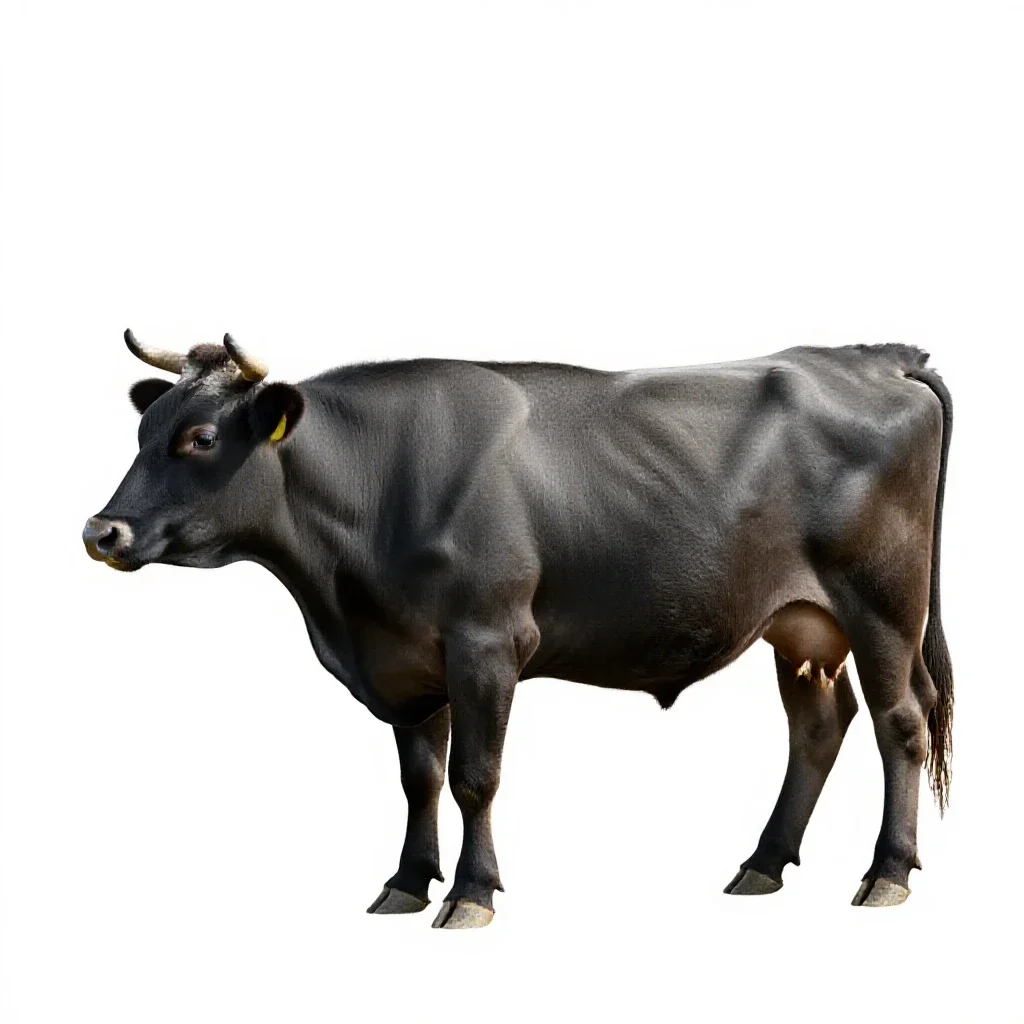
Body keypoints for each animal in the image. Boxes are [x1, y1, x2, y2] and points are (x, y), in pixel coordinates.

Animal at [83, 330, 953, 928]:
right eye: (143, 432)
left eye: (200, 438)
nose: (102, 531)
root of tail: (871, 357)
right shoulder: (405, 656)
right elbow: (420, 778)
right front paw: (405, 882)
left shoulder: (486, 643)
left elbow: (475, 777)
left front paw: (471, 893)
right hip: (801, 625)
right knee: (819, 724)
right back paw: (763, 863)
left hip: (881, 603)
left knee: (902, 721)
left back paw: (887, 874)